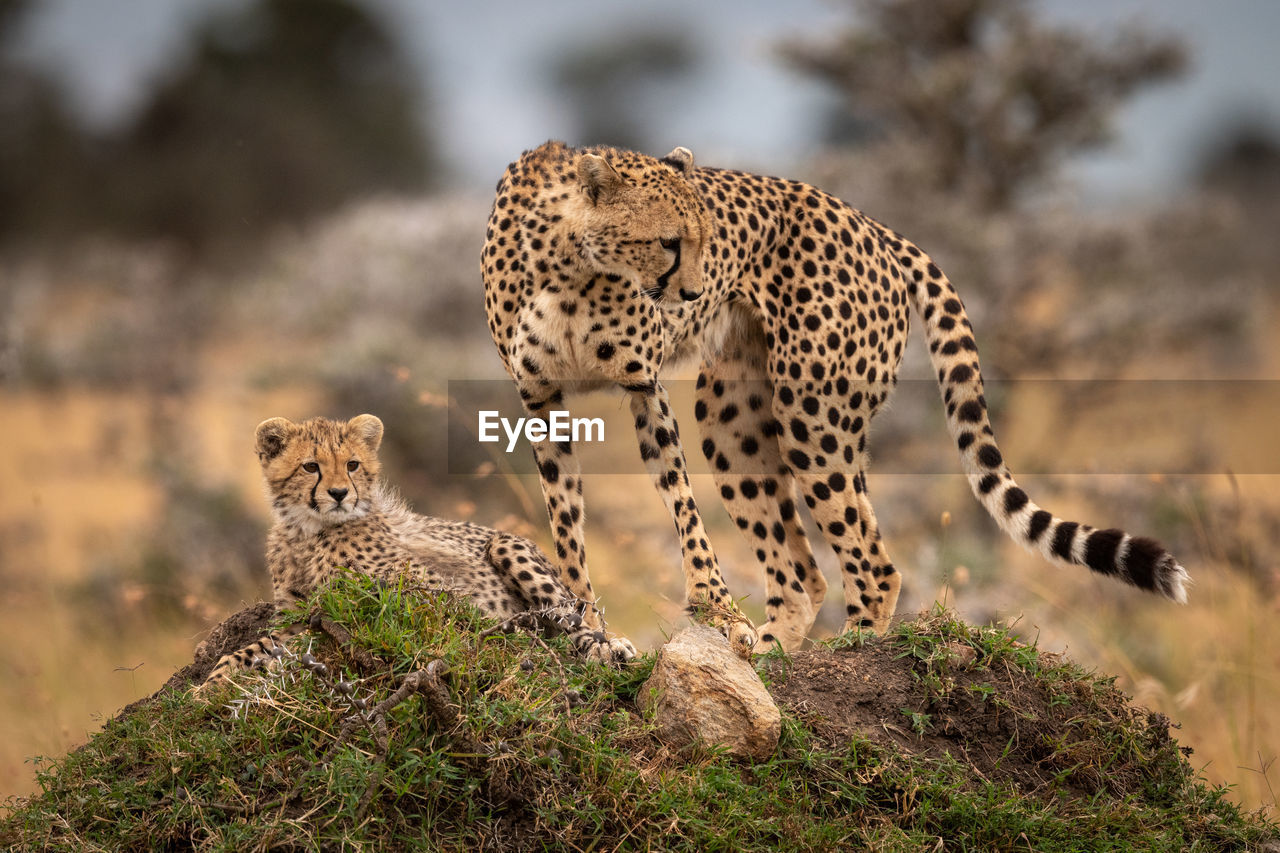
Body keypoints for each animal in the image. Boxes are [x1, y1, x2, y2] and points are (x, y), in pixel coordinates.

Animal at [199, 412, 634, 691]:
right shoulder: (296, 616)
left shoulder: (420, 596)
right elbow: (253, 647)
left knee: (577, 621)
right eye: (310, 467)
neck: (308, 531)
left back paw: (608, 650)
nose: (338, 493)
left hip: (507, 546)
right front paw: (211, 684)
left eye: (352, 464)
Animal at [481, 142, 1187, 653]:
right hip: (733, 416)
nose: (694, 292)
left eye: (709, 239)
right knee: (805, 574)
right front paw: (587, 623)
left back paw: (851, 648)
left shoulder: (644, 385)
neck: (573, 266)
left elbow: (682, 510)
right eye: (667, 241)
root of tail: (872, 223)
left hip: (812, 415)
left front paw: (712, 604)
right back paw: (768, 650)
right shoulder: (540, 401)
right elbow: (567, 522)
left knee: (875, 565)